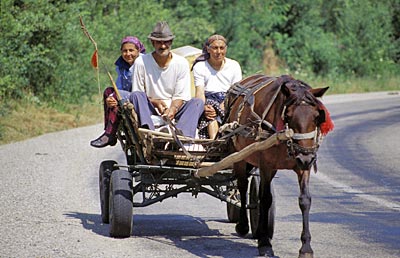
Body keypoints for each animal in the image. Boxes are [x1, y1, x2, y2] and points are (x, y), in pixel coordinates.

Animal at [223, 73, 332, 256]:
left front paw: (306, 247)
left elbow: (305, 200)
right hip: (238, 155)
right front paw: (265, 243)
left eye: (318, 116)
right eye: (288, 116)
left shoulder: (303, 168)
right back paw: (243, 225)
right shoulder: (266, 165)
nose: (305, 157)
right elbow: (265, 199)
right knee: (243, 186)